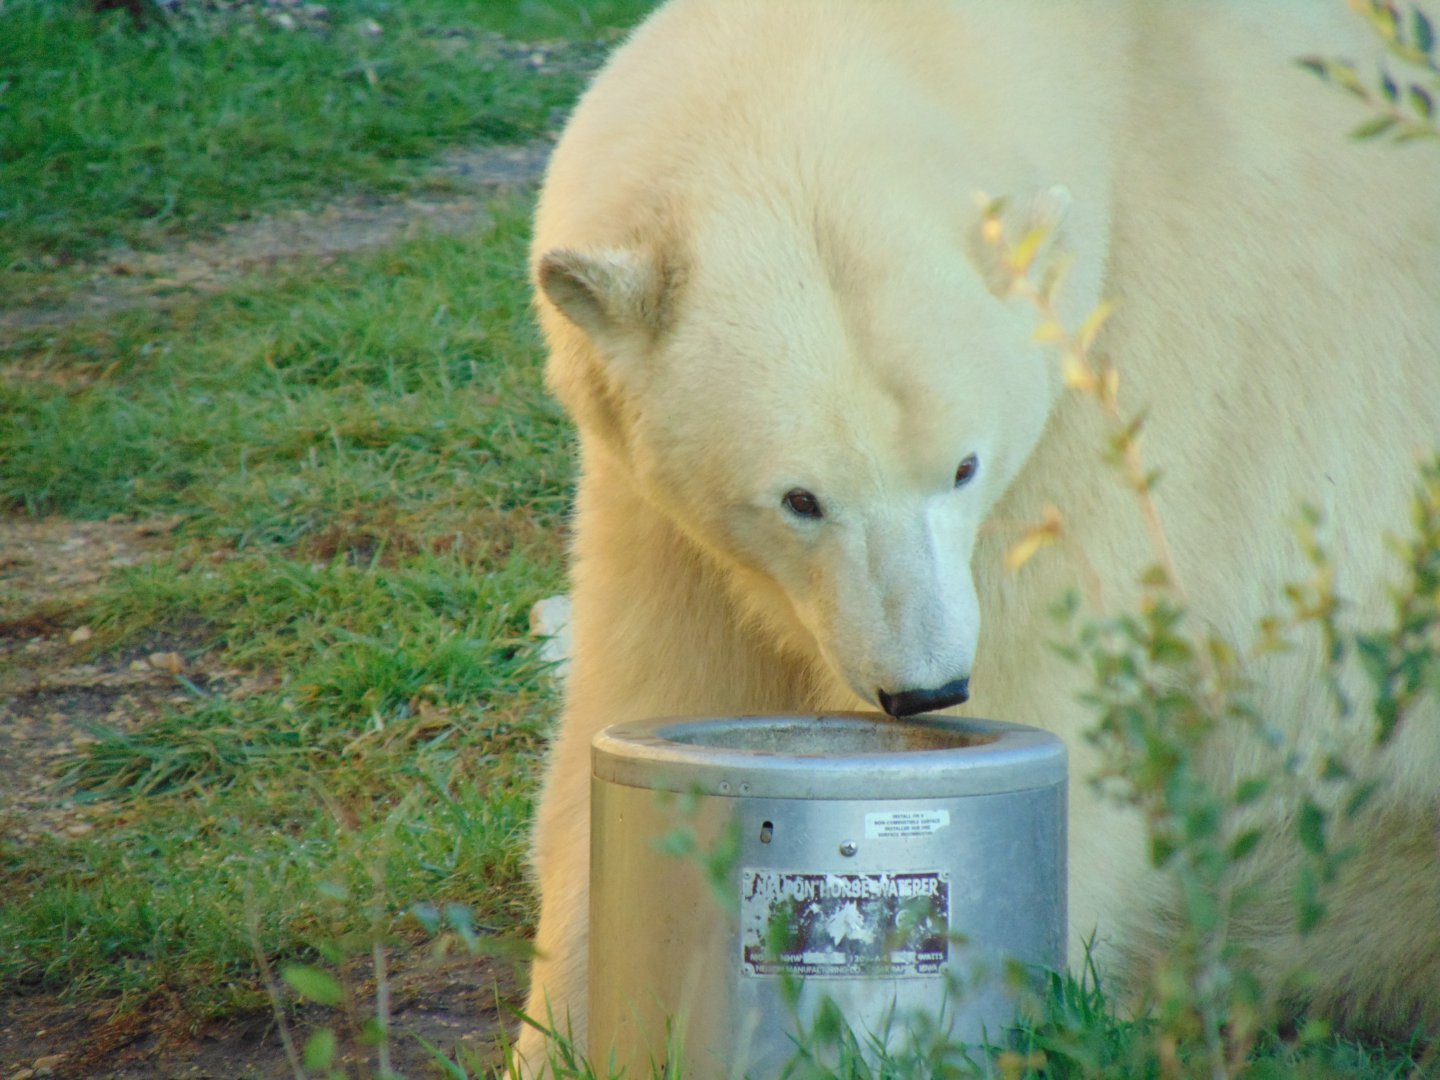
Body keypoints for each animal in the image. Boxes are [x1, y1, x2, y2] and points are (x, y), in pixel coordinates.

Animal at [516, 0, 1440, 1072]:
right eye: (799, 499)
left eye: (963, 467)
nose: (924, 689)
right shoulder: (652, 507)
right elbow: (648, 695)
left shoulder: (1110, 408)